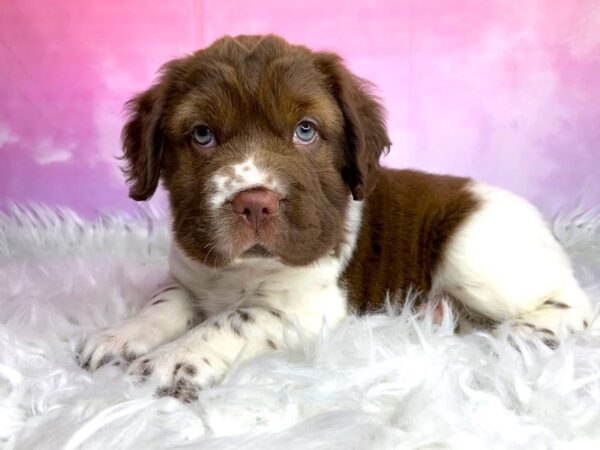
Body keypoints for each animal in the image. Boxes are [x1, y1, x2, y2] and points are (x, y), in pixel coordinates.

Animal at [79, 34, 596, 400]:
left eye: (305, 131)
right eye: (202, 135)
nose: (255, 203)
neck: (243, 270)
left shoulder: (306, 306)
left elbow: (233, 319)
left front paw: (175, 358)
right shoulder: (189, 273)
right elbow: (164, 303)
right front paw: (121, 335)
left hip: (473, 255)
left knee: (576, 302)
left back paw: (525, 332)